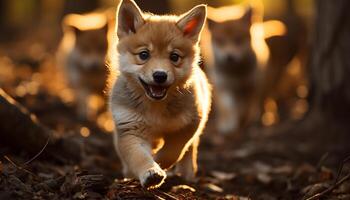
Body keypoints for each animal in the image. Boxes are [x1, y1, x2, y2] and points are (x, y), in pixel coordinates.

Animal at [109, 0, 211, 189]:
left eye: (174, 57)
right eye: (144, 55)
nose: (160, 75)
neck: (155, 107)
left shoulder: (189, 125)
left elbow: (172, 152)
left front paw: (159, 163)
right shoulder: (130, 129)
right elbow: (139, 157)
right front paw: (150, 171)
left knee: (189, 152)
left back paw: (186, 176)